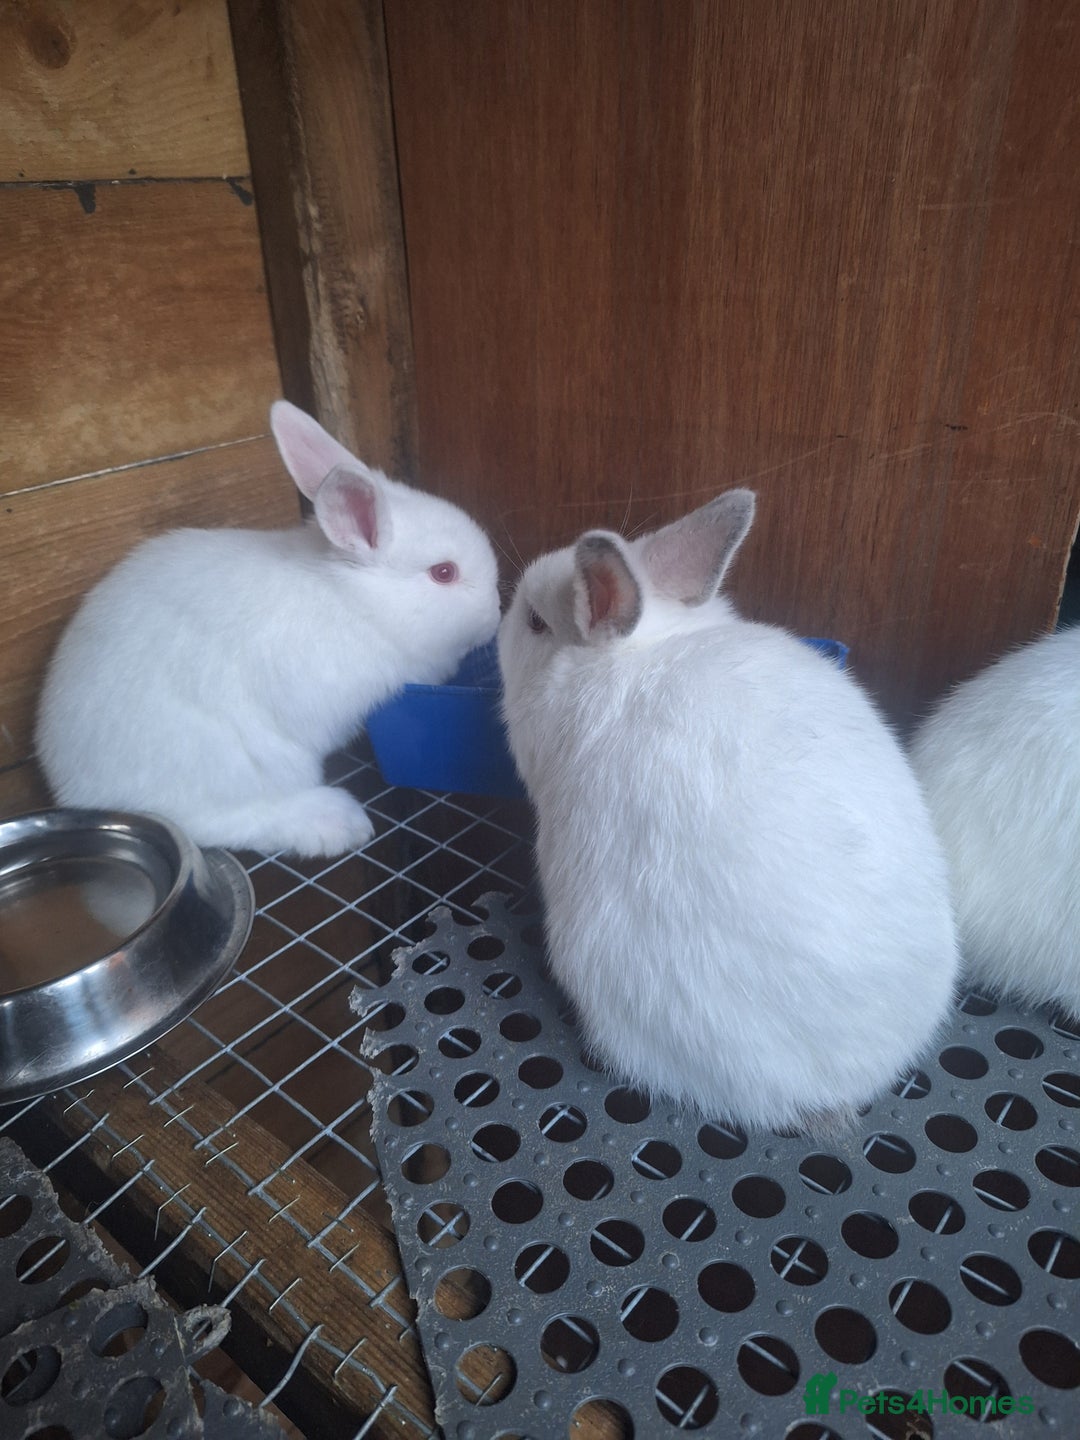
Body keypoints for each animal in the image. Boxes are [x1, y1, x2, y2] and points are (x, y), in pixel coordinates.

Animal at [35, 401, 501, 858]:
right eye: (444, 573)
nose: (496, 613)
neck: (357, 601)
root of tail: (75, 788)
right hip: (244, 764)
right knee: (215, 821)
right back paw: (335, 824)